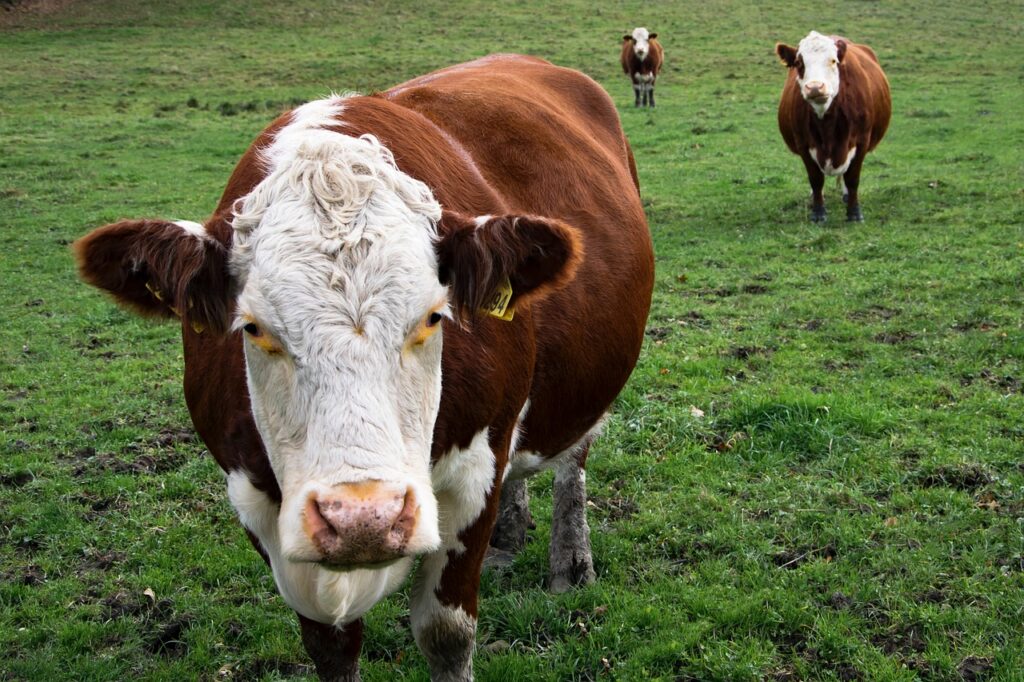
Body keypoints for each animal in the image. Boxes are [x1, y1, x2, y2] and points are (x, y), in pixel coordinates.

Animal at [74, 54, 654, 681]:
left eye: (433, 316)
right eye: (253, 327)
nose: (364, 517)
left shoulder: (476, 471)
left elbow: (446, 633)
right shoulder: (258, 501)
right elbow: (330, 646)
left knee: (573, 460)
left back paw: (570, 564)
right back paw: (509, 536)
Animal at [776, 31, 891, 222]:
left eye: (833, 61)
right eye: (799, 63)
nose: (815, 87)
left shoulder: (861, 141)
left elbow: (852, 178)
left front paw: (854, 212)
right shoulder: (803, 144)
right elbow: (815, 179)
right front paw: (818, 212)